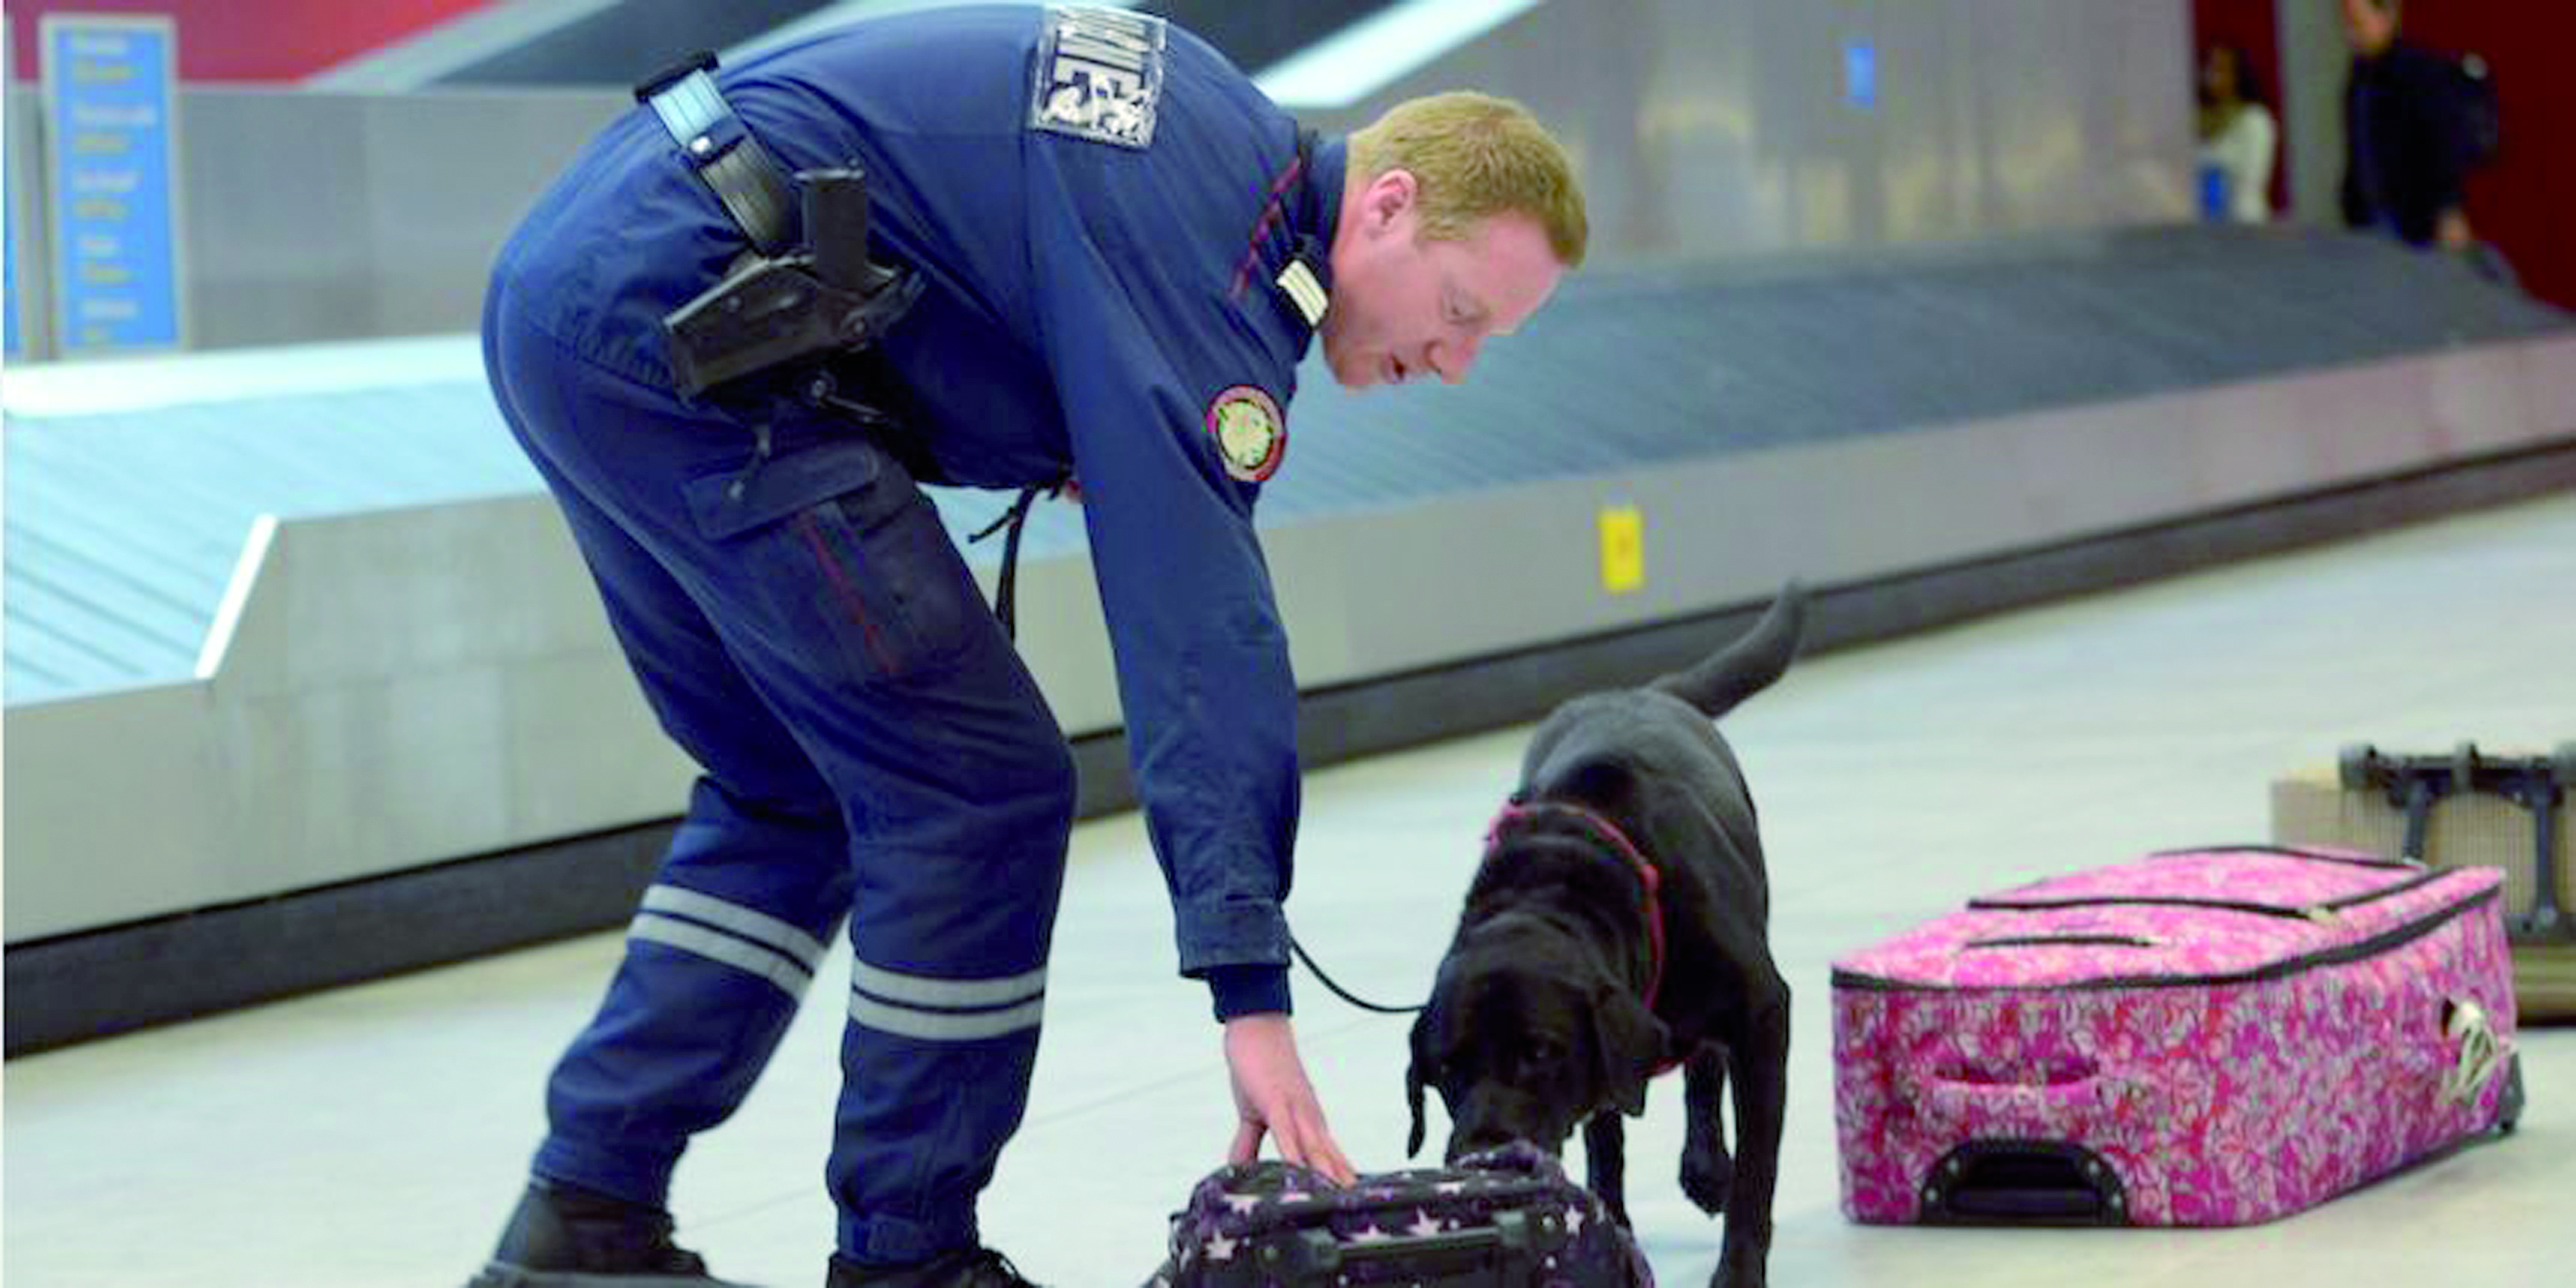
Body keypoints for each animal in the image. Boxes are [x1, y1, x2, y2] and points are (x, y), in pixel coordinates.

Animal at [1411, 587, 1793, 1288]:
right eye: (1446, 1066)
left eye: (1539, 1052)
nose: (1482, 1152)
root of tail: (1645, 690)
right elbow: (1604, 1145)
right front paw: (1607, 1236)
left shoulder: (1762, 1012)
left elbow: (1758, 1168)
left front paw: (1737, 1268)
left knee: (1704, 1070)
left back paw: (1706, 1164)